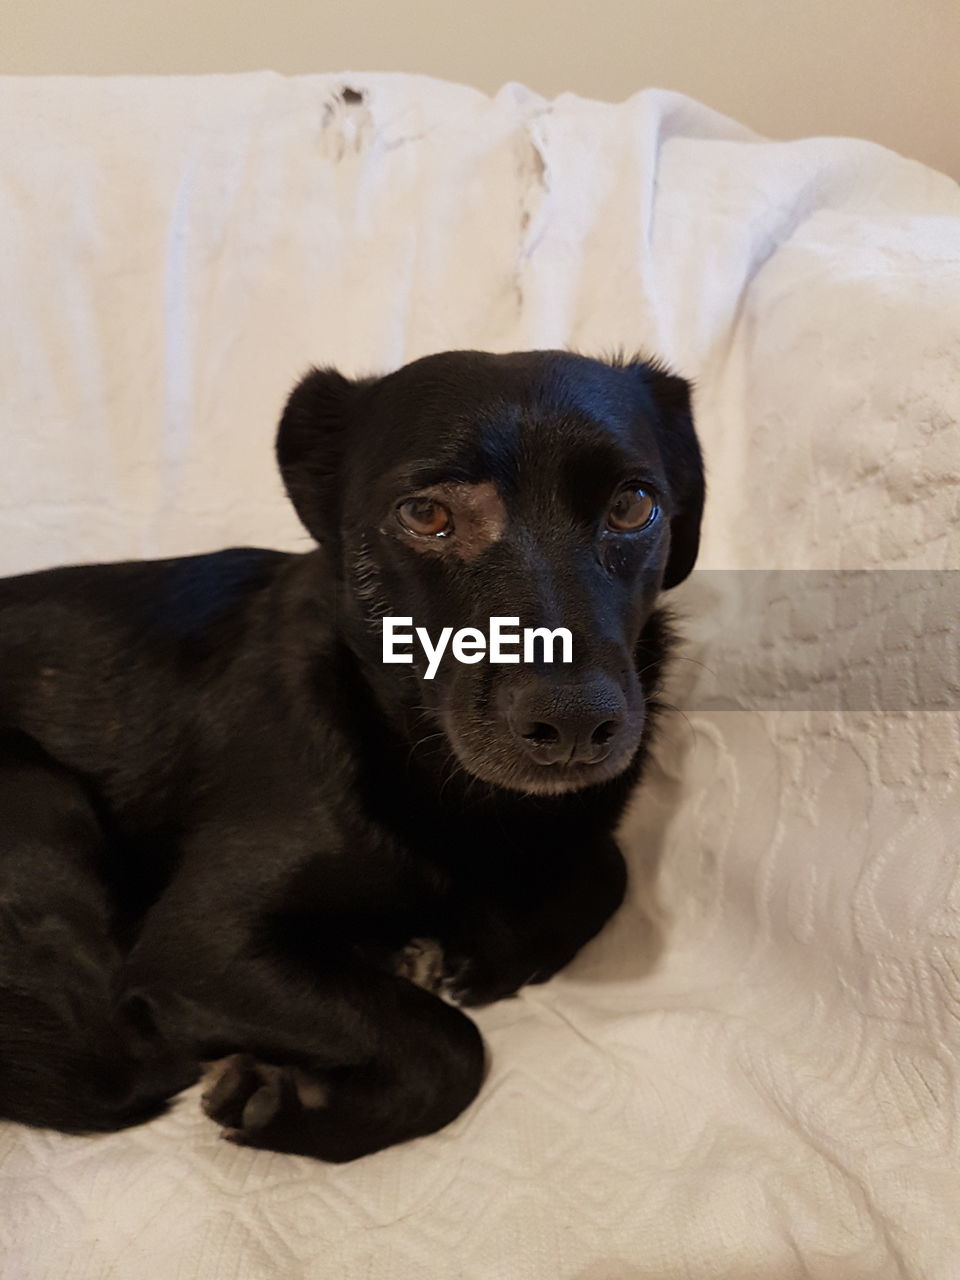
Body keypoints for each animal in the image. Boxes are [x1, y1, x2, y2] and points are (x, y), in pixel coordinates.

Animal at [0, 348, 706, 1162]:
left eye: (632, 506)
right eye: (425, 515)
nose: (576, 723)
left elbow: (610, 866)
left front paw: (493, 954)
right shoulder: (197, 946)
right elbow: (453, 1047)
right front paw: (290, 1102)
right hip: (39, 796)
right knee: (128, 1063)